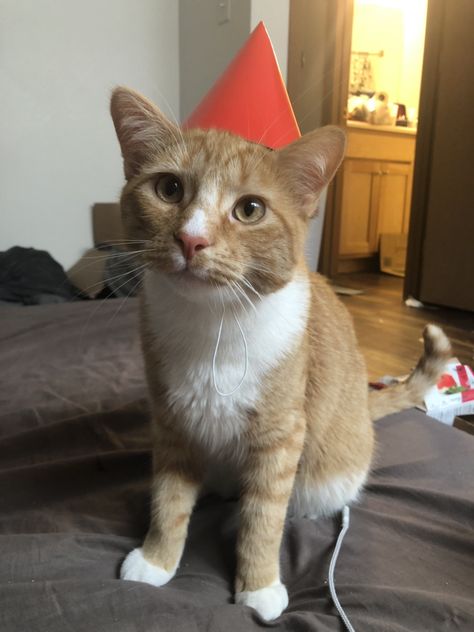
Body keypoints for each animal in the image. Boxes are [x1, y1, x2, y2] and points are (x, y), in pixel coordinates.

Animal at [109, 86, 450, 620]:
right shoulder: (172, 422)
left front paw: (259, 586)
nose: (191, 238)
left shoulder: (281, 434)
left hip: (323, 480)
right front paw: (157, 560)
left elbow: (263, 518)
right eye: (168, 189)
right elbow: (168, 500)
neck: (213, 325)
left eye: (250, 209)